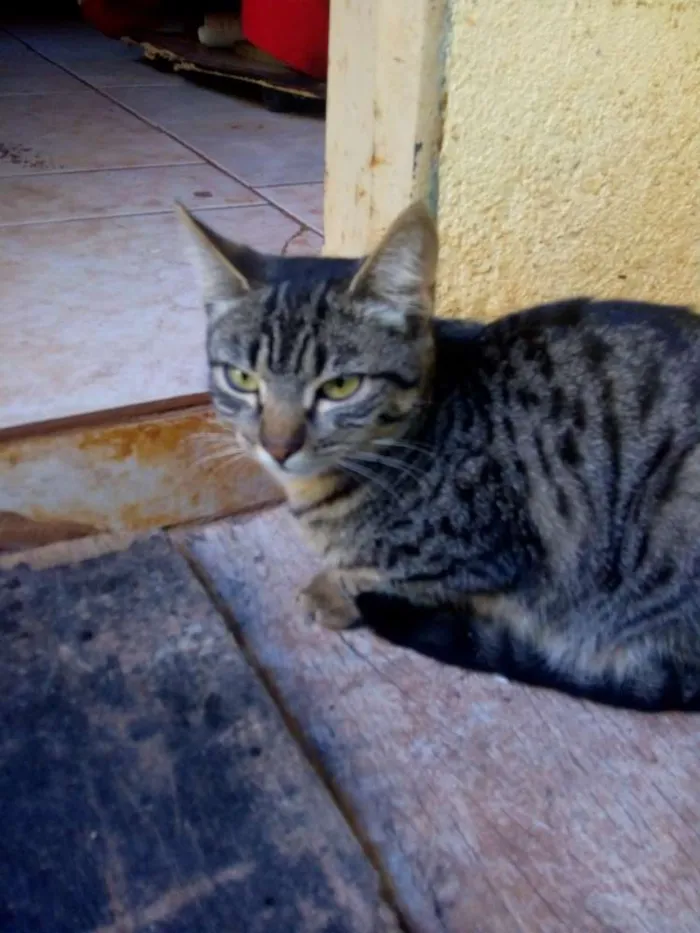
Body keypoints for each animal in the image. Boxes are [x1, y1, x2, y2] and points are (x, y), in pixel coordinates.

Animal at [178, 202, 700, 708]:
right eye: (243, 378)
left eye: (341, 386)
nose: (277, 446)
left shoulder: (490, 555)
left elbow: (382, 576)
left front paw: (334, 590)